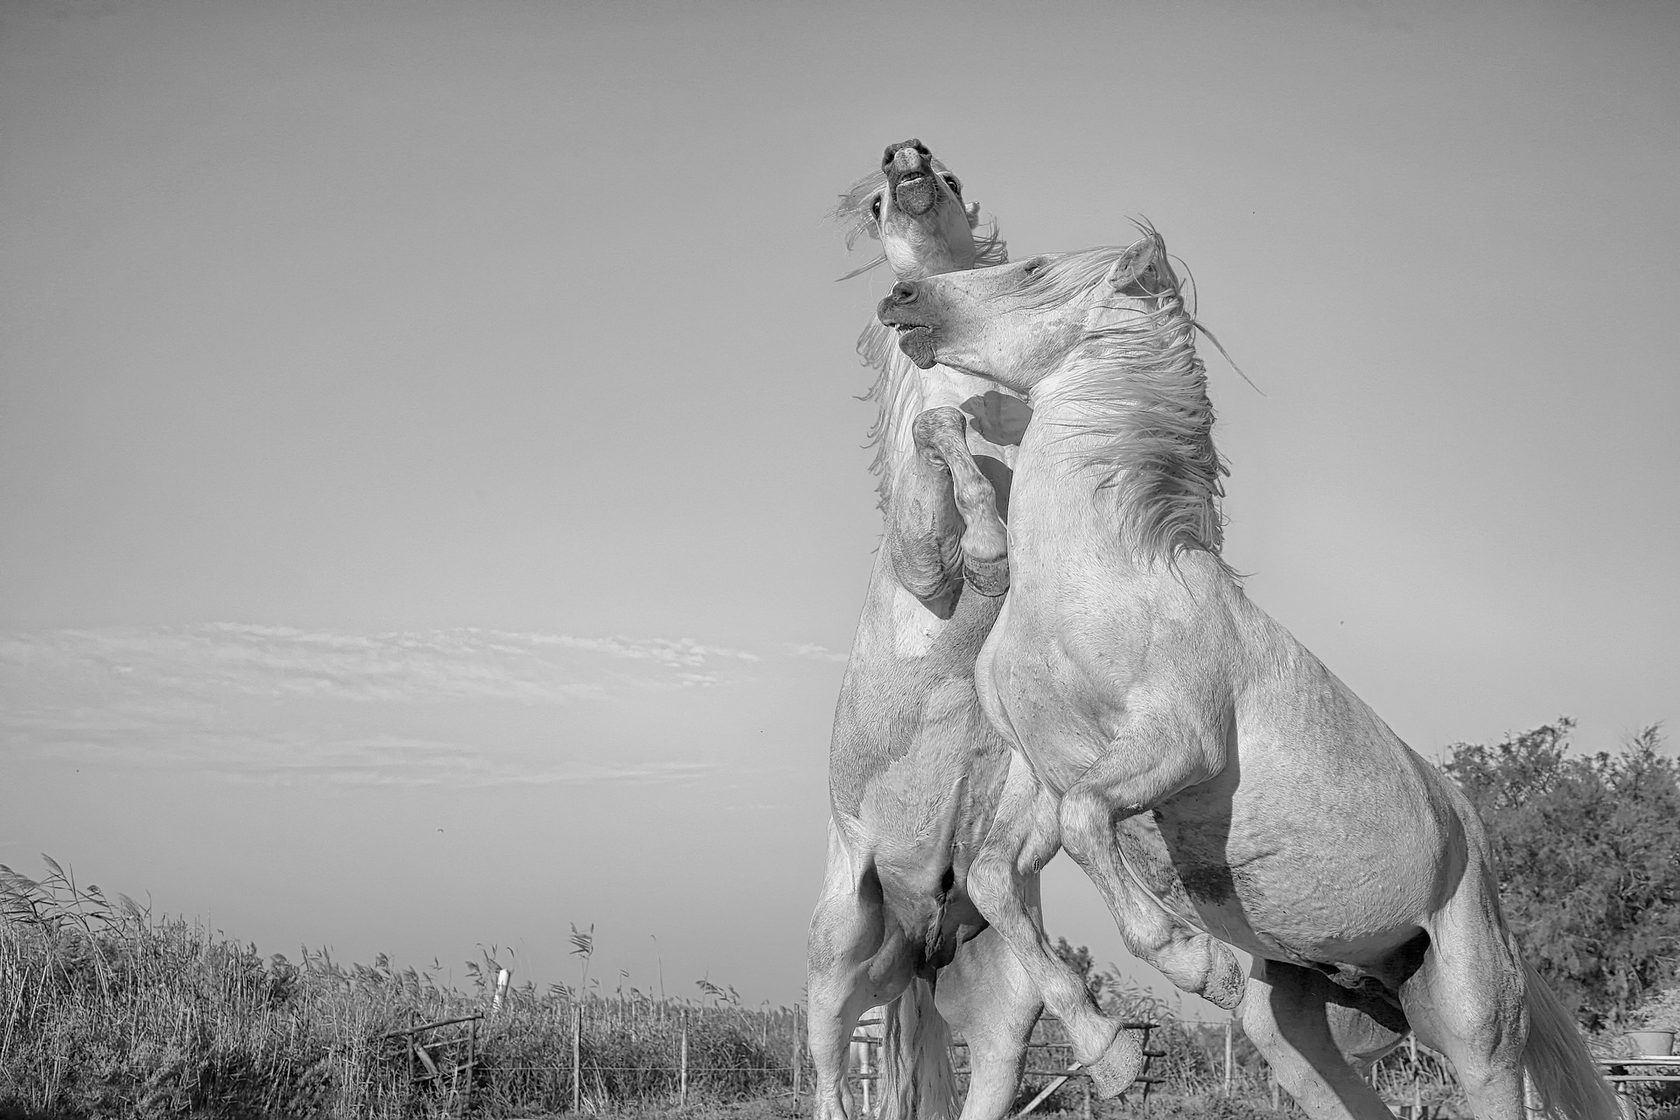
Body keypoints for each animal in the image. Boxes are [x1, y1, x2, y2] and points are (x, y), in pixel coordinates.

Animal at [873, 225, 1619, 1120]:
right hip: (1298, 1028)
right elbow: (993, 875)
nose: (902, 299)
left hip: (1475, 1019)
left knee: (1489, 1071)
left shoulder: (1176, 745)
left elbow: (1090, 826)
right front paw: (1116, 1056)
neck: (1097, 582)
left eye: (1033, 269)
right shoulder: (1048, 774)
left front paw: (1192, 965)